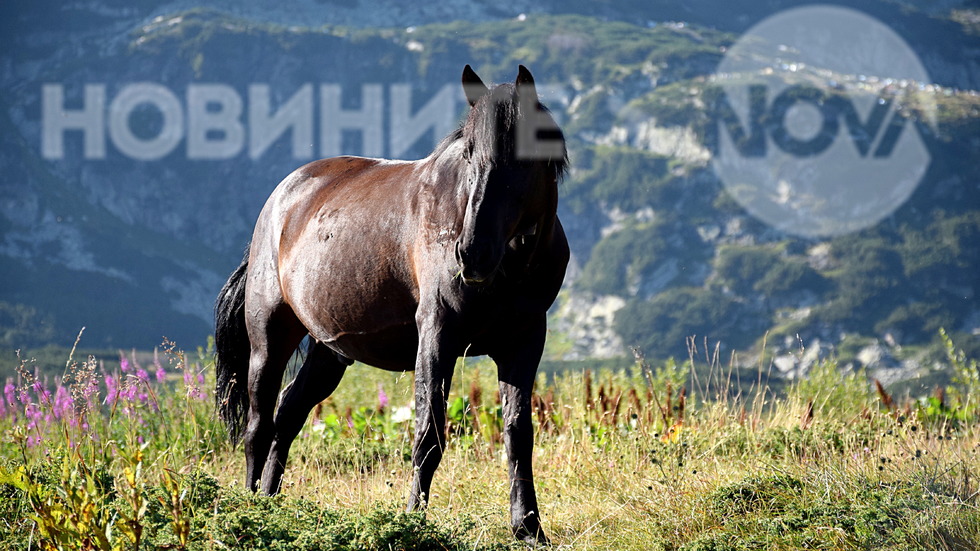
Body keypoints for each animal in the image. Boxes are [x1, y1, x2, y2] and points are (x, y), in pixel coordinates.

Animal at [214, 66, 568, 544]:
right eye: (469, 153)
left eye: (527, 153)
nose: (470, 253)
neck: (511, 267)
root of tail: (281, 198)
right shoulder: (437, 335)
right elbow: (428, 434)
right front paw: (413, 520)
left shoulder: (524, 341)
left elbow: (518, 434)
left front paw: (528, 527)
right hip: (270, 336)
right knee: (258, 425)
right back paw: (252, 508)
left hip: (330, 351)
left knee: (288, 415)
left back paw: (271, 503)